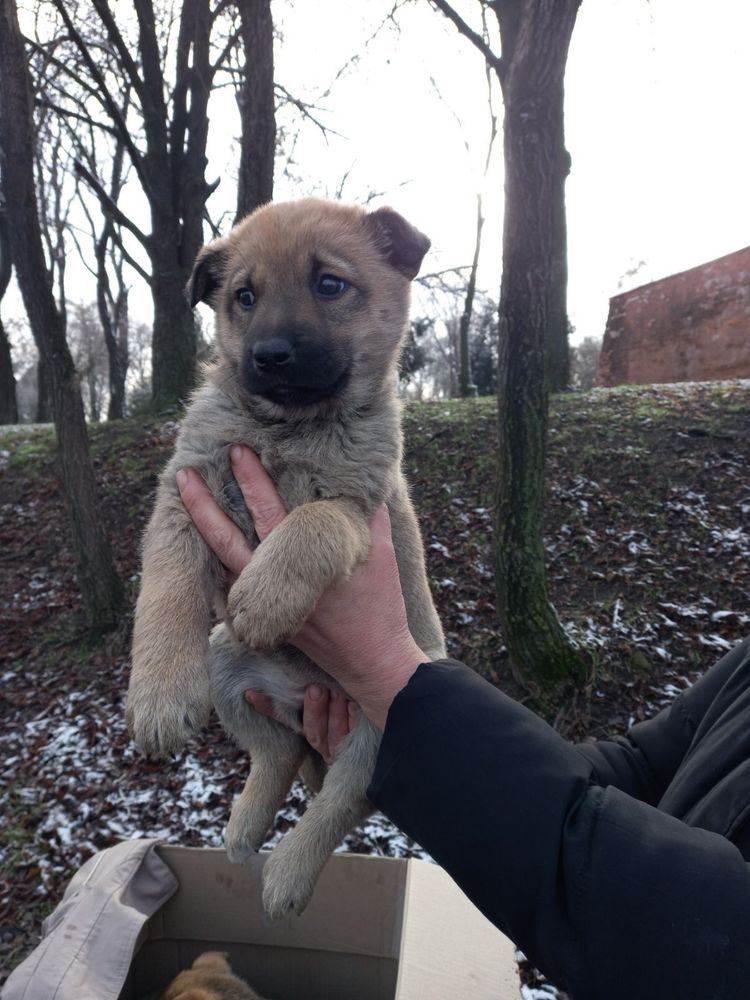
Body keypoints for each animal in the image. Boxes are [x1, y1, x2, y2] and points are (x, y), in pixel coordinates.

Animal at [127, 197, 446, 920]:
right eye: (244, 296)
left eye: (329, 284)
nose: (270, 356)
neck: (288, 428)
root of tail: (304, 703)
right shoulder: (183, 494)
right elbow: (165, 587)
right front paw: (158, 691)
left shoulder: (357, 507)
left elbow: (310, 520)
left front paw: (265, 593)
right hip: (226, 661)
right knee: (276, 755)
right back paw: (247, 825)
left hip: (385, 728)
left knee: (341, 803)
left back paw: (289, 876)